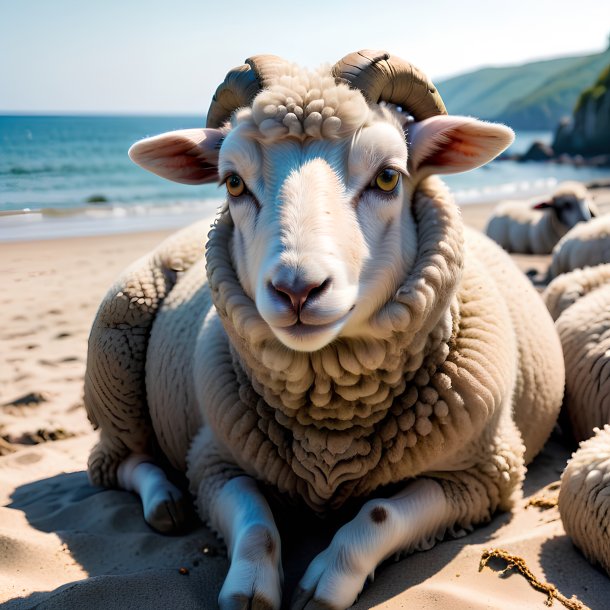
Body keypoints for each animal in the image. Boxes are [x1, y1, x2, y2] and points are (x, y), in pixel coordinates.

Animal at [83, 50, 564, 604]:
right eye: (233, 183)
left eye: (388, 177)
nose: (297, 290)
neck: (331, 429)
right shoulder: (213, 463)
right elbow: (255, 523)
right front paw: (249, 588)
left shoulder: (485, 476)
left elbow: (380, 513)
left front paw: (326, 582)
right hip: (115, 361)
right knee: (119, 461)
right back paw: (166, 499)